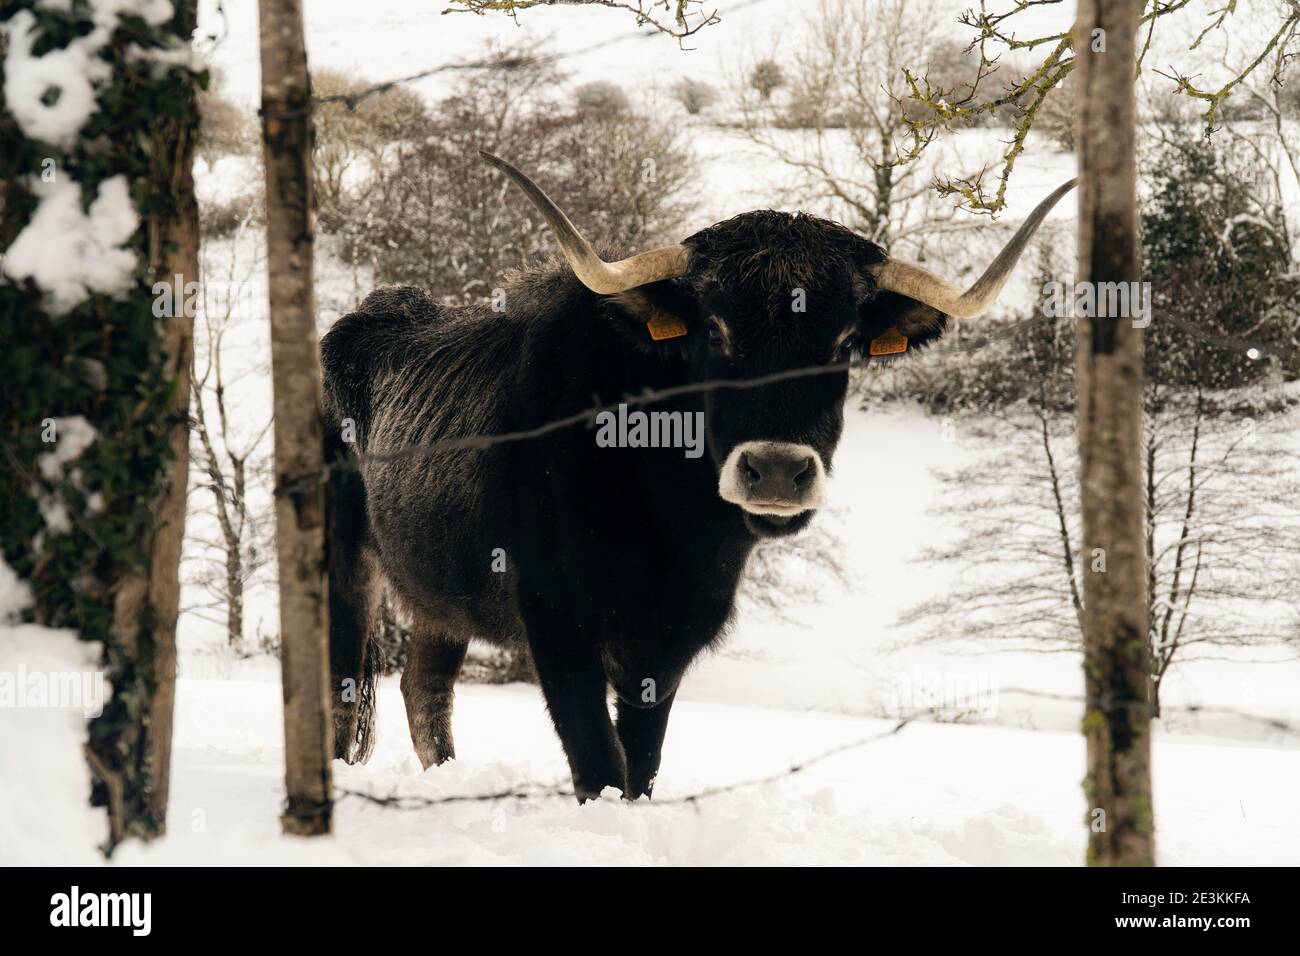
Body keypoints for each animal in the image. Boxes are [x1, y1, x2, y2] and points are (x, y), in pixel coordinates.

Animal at [319, 155, 1071, 801]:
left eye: (842, 343)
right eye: (716, 329)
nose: (777, 471)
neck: (664, 517)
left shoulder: (675, 635)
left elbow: (640, 764)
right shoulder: (557, 621)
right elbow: (598, 762)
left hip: (437, 594)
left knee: (425, 688)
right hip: (344, 563)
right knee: (343, 687)